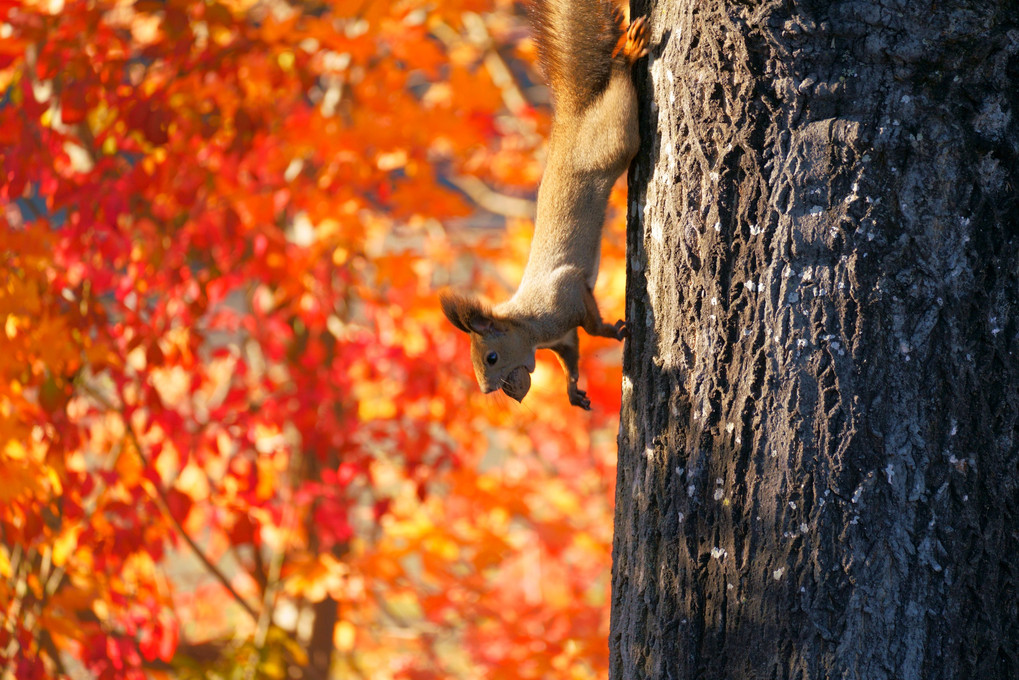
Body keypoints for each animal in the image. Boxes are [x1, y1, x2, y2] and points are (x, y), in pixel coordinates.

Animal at [438, 0, 644, 409]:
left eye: (491, 357)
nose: (489, 390)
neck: (530, 326)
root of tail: (570, 120)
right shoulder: (562, 339)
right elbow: (572, 355)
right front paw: (572, 391)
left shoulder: (564, 294)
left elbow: (589, 324)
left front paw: (609, 331)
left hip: (612, 140)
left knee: (619, 98)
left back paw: (626, 54)